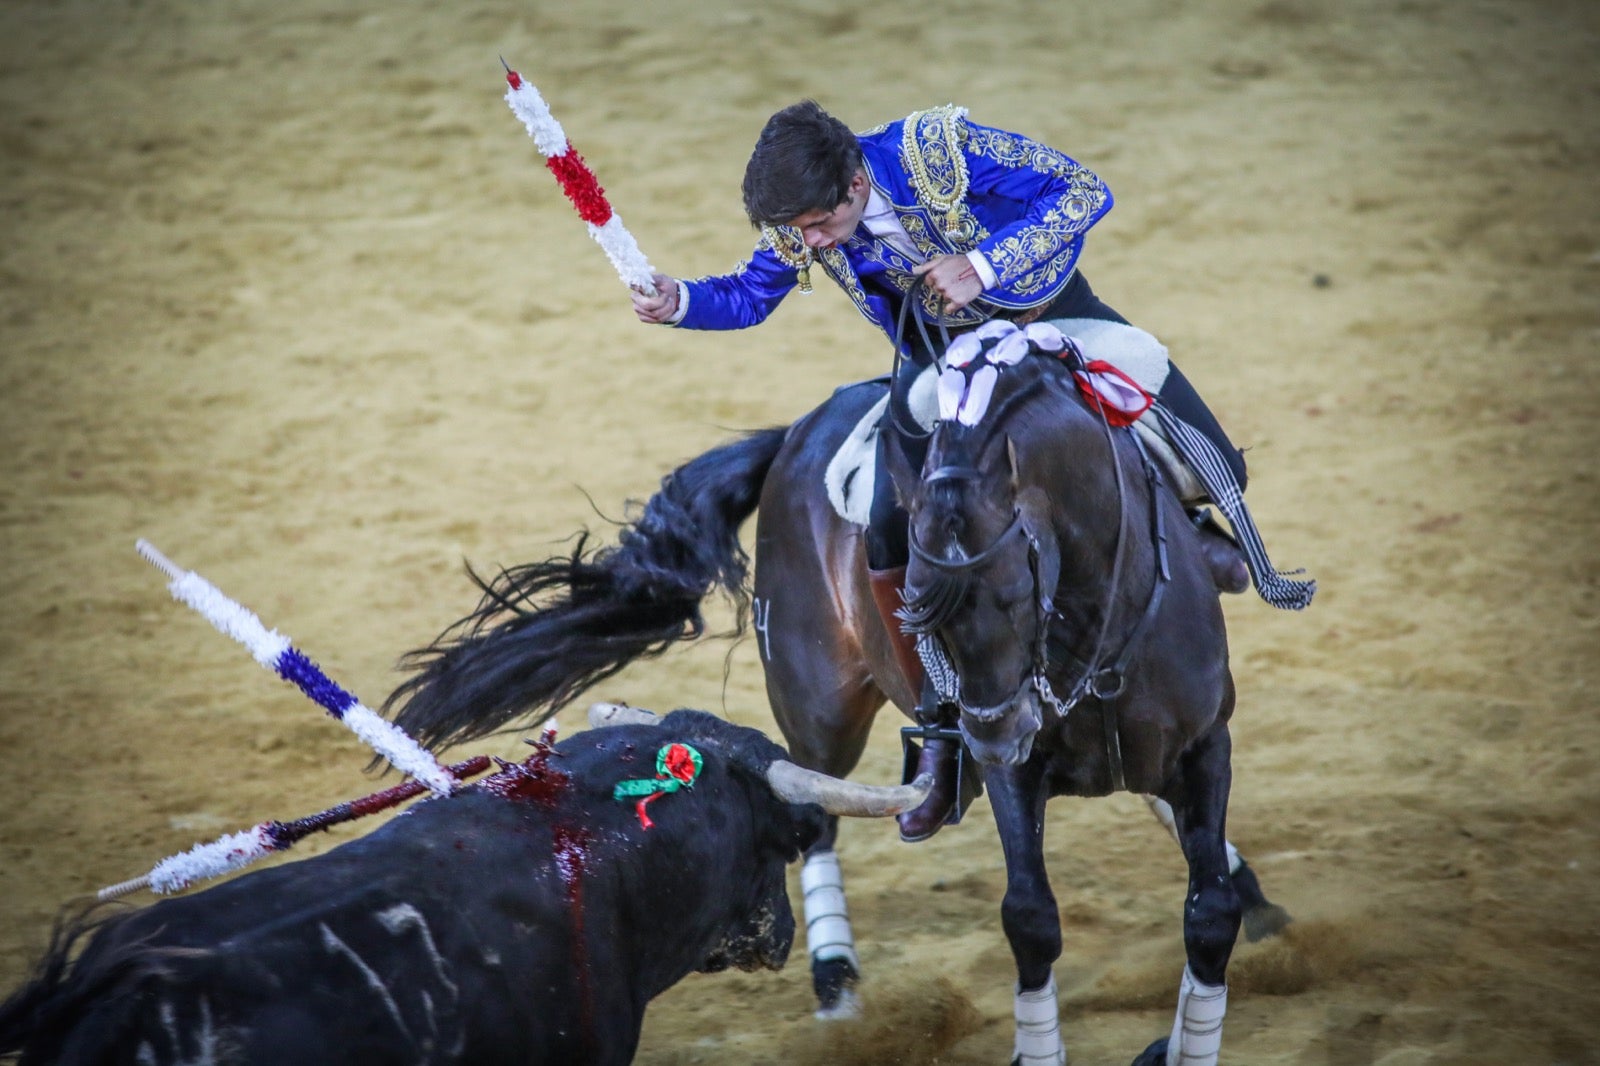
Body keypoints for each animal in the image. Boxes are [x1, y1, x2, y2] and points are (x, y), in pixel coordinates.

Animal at [380, 329, 1292, 1056]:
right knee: (811, 809)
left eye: (1015, 588)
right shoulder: (1017, 779)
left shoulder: (1206, 745)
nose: (991, 733)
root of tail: (794, 433)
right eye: (916, 599)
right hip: (822, 706)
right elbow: (1030, 919)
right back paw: (835, 977)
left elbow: (1206, 913)